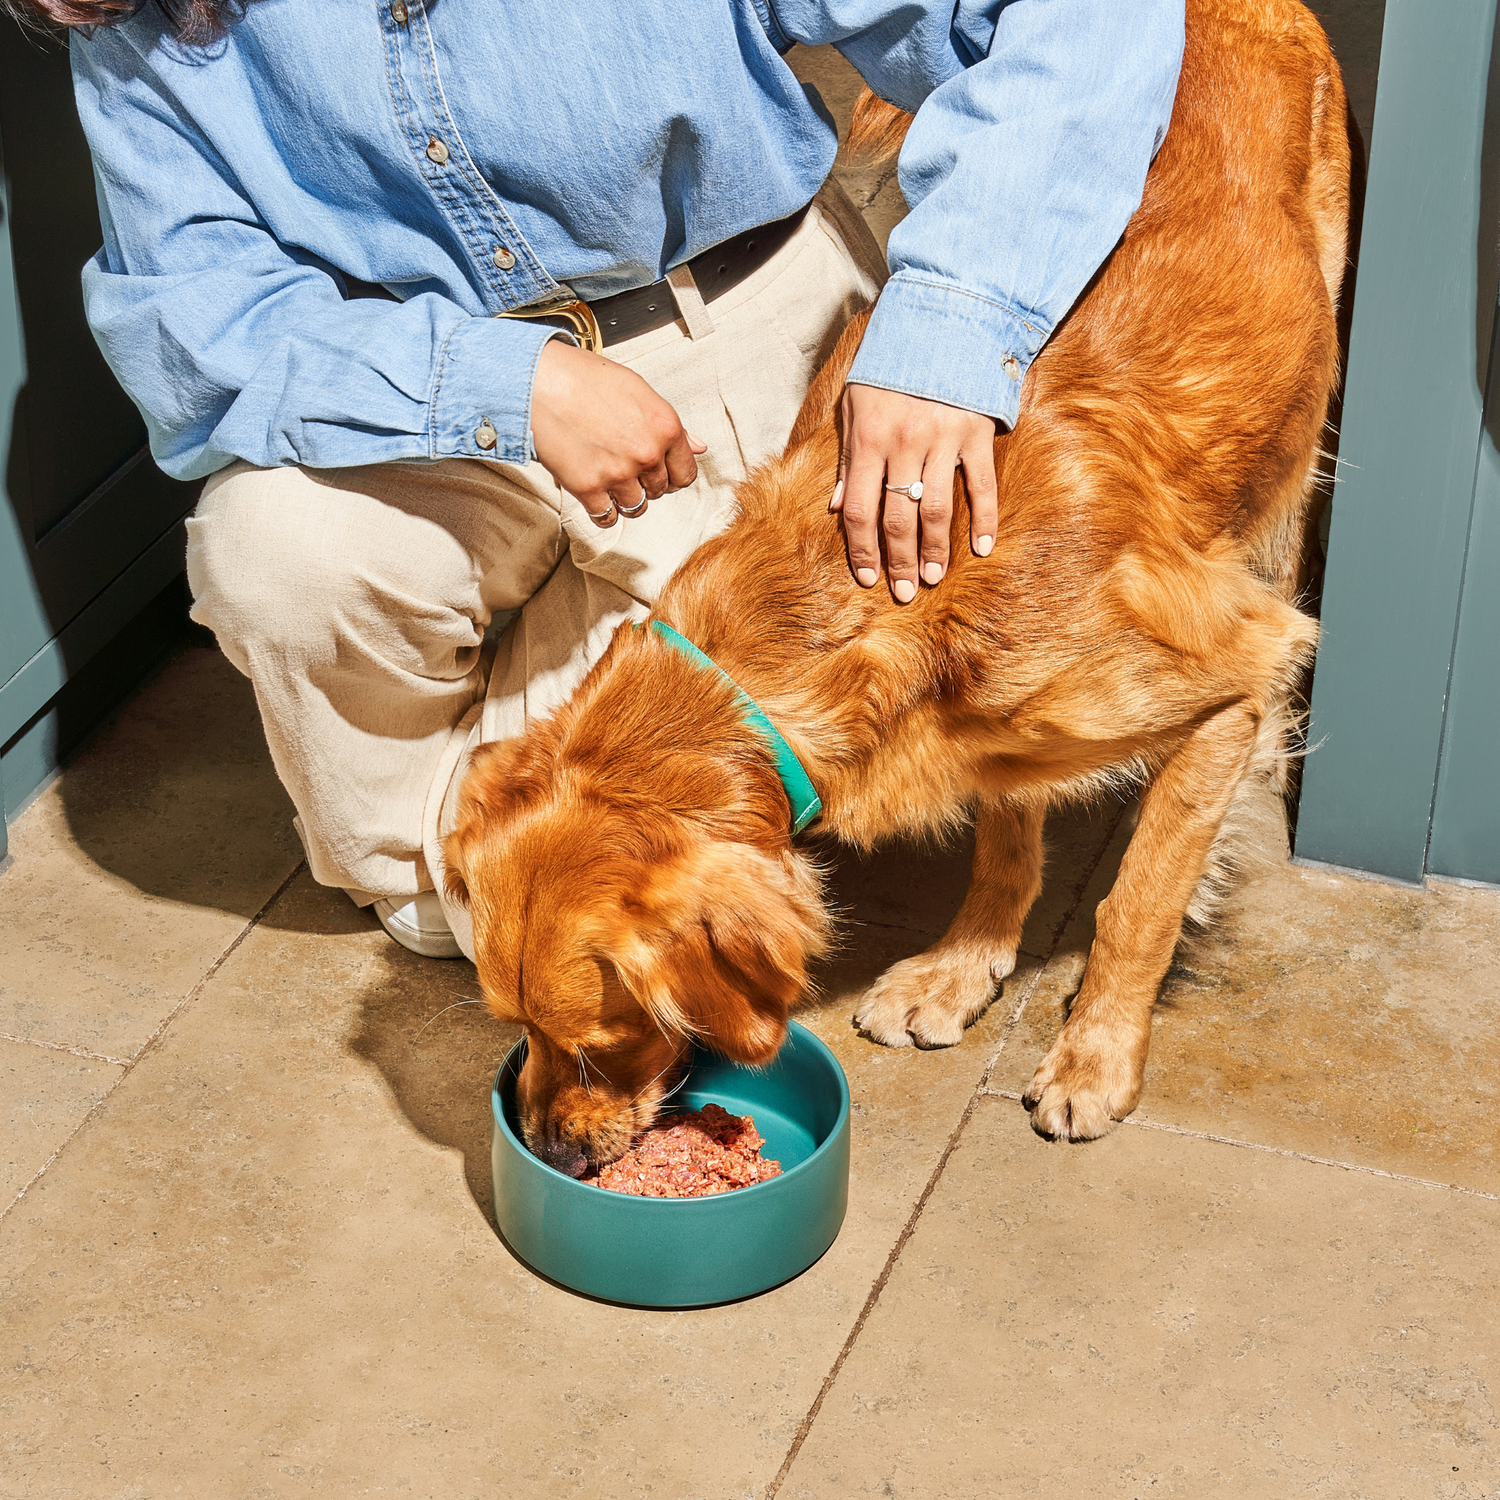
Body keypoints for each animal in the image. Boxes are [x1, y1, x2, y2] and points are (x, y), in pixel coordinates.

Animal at [441, 0, 1350, 1170]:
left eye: (600, 1040)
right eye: (518, 1028)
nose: (547, 1150)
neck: (858, 601)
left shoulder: (1226, 670)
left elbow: (1139, 901)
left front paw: (1096, 1055)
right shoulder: (995, 729)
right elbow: (1006, 827)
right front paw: (967, 963)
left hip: (1295, 443)